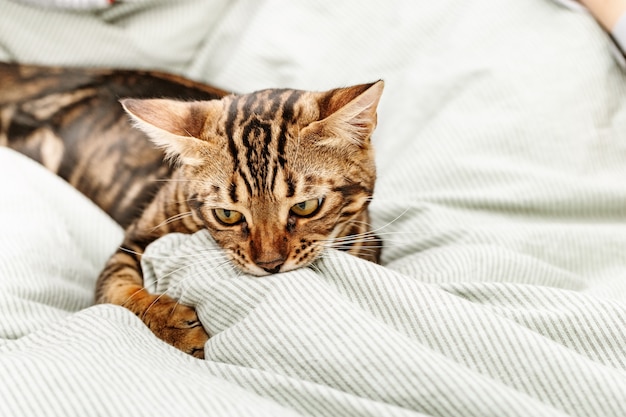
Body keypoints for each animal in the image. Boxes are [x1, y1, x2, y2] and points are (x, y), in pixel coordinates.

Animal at [0, 62, 382, 358]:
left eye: (305, 206)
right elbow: (117, 289)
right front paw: (172, 324)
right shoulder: (133, 241)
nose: (270, 264)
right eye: (228, 215)